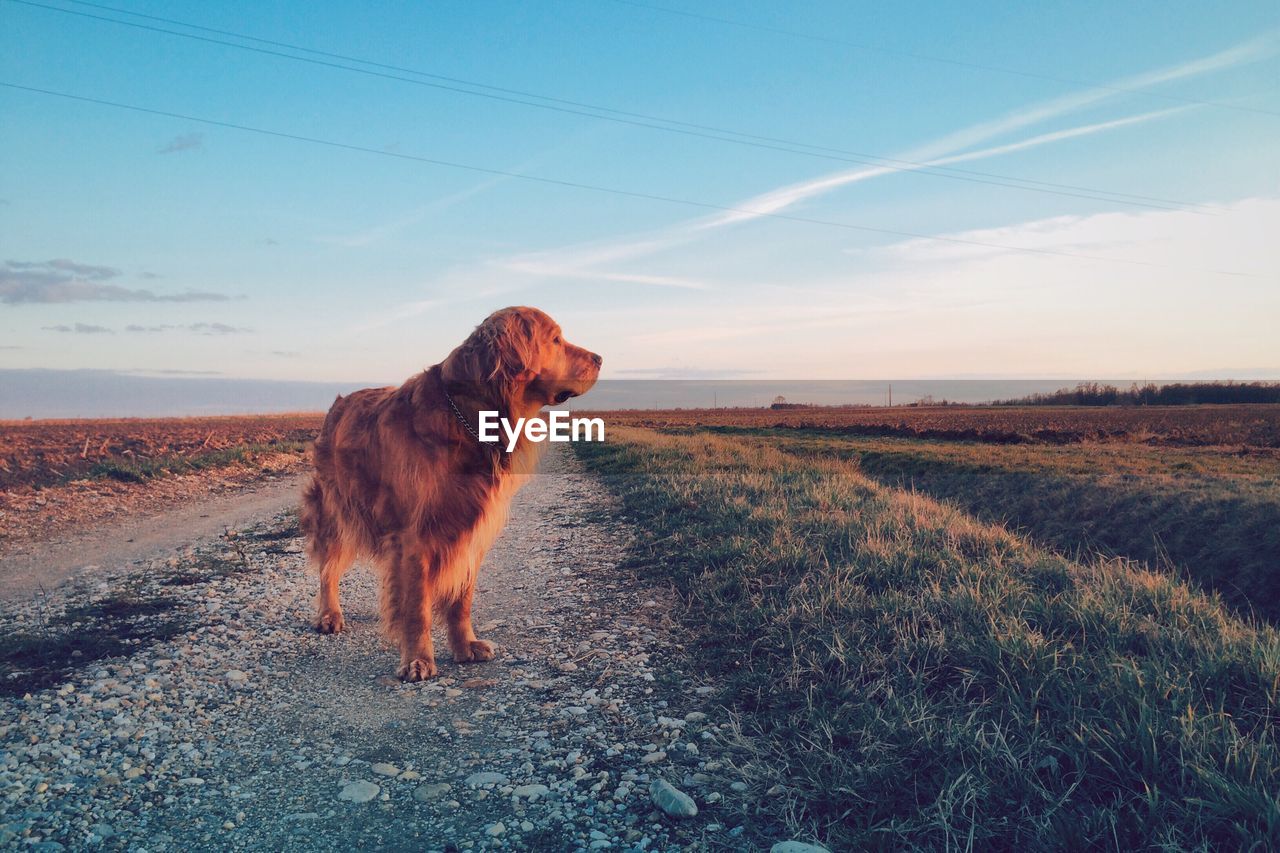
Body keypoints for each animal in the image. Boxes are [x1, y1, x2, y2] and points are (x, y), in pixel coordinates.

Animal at [299, 306, 599, 676]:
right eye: (556, 339)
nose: (600, 358)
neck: (467, 416)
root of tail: (338, 404)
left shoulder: (469, 531)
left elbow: (460, 600)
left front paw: (465, 645)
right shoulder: (415, 536)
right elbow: (417, 607)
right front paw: (417, 659)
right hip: (335, 508)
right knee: (328, 566)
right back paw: (329, 614)